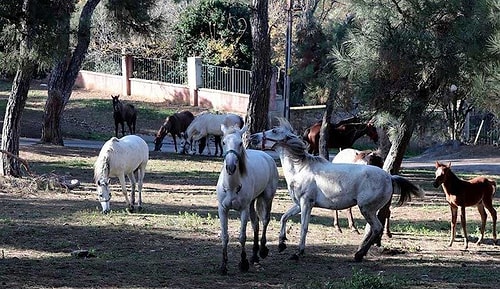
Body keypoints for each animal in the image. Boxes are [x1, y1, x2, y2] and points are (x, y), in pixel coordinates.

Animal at [216, 123, 280, 272]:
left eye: (240, 143)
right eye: (223, 142)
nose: (231, 167)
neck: (232, 187)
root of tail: (266, 156)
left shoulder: (243, 210)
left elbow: (242, 237)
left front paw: (243, 262)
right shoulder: (222, 210)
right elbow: (225, 236)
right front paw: (223, 265)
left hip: (267, 198)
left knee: (264, 221)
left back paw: (262, 251)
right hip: (252, 203)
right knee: (255, 223)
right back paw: (254, 255)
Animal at [248, 118, 424, 262]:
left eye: (274, 131)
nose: (252, 137)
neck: (301, 168)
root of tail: (389, 177)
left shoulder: (306, 204)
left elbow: (304, 227)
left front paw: (298, 252)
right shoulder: (299, 204)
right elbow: (284, 218)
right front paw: (281, 243)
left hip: (366, 209)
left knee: (376, 228)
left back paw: (359, 254)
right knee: (376, 227)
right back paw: (361, 252)